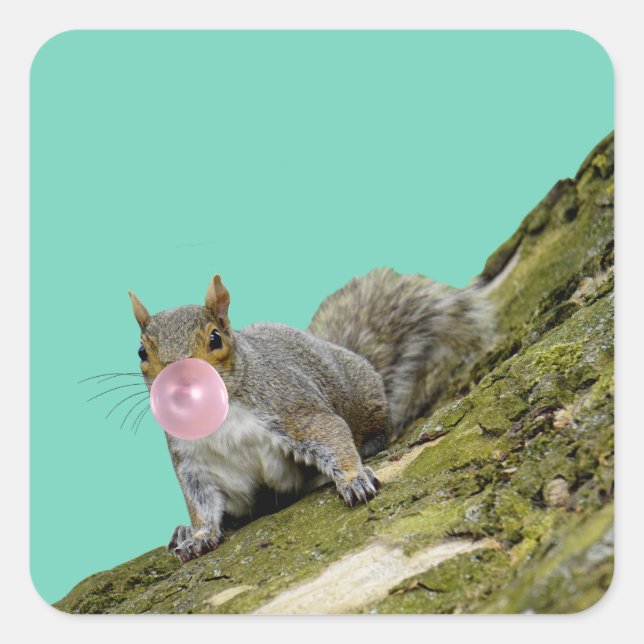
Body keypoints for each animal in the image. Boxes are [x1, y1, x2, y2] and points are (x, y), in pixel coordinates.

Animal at [128, 268, 493, 563]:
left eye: (215, 338)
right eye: (142, 351)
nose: (180, 383)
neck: (222, 416)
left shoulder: (291, 408)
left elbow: (330, 432)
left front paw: (353, 479)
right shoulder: (195, 462)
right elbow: (201, 501)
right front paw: (200, 535)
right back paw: (183, 531)